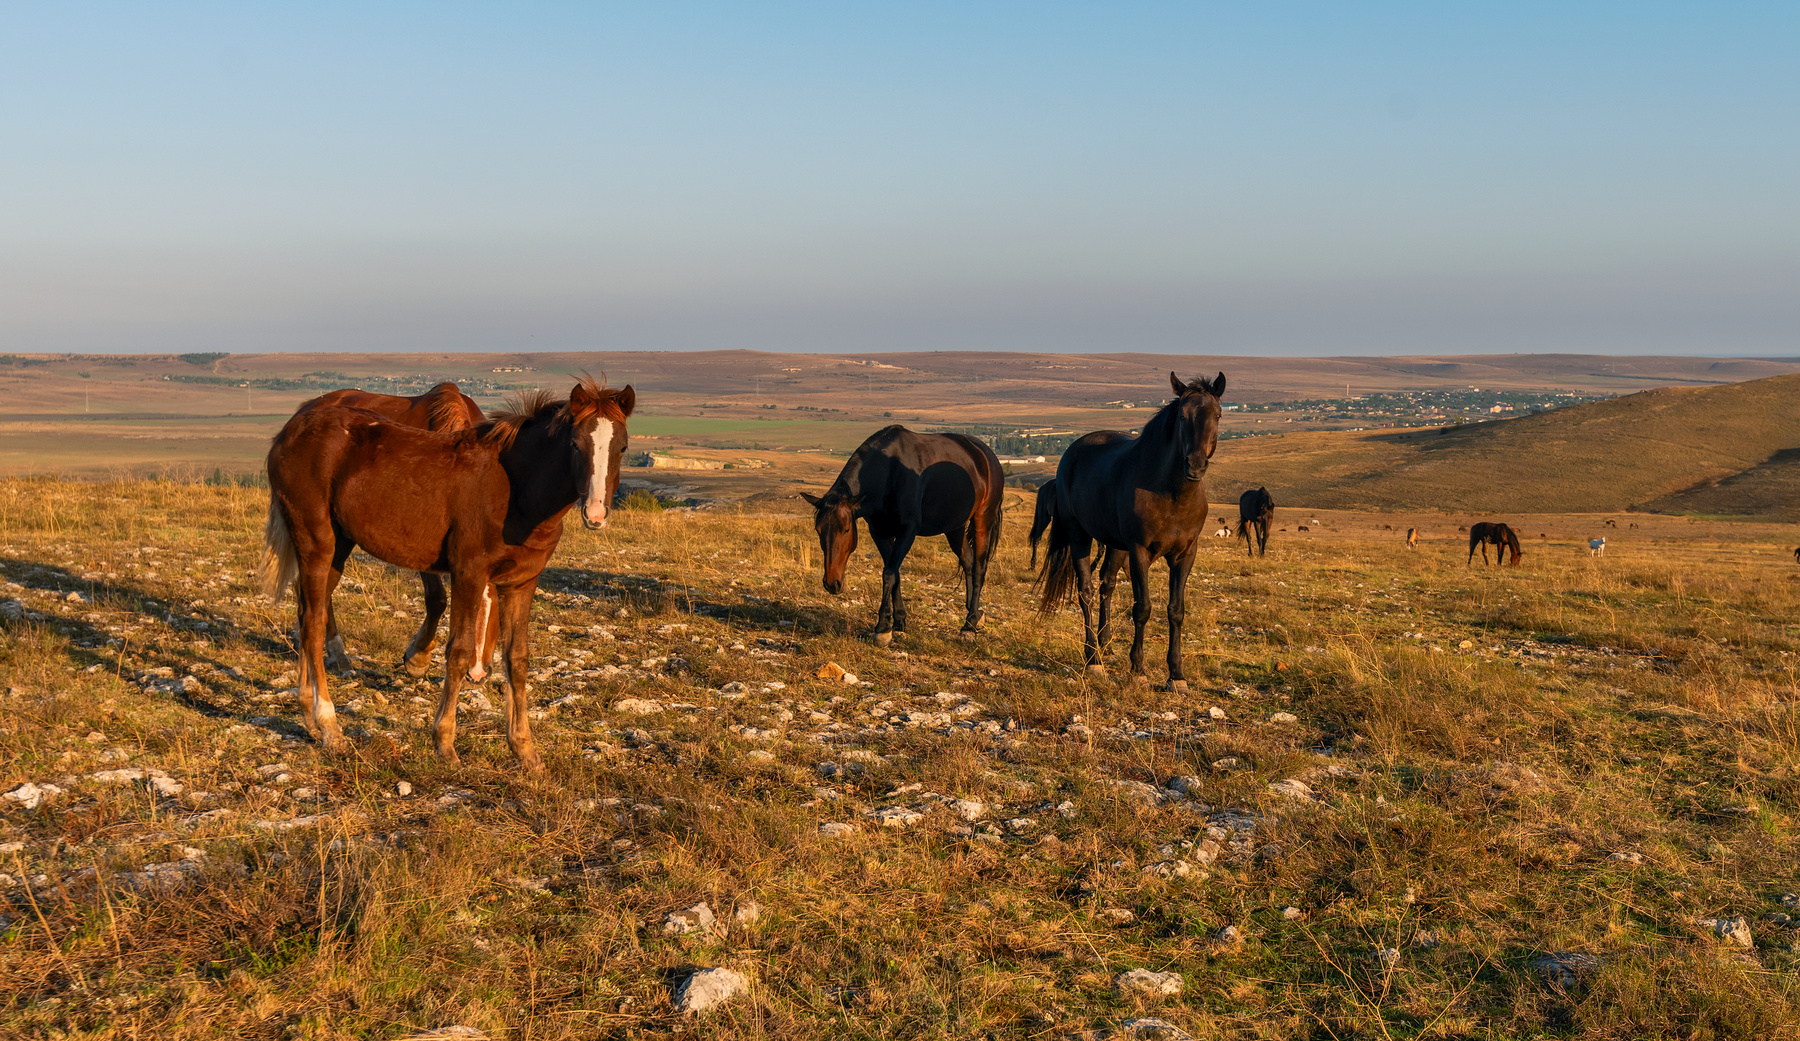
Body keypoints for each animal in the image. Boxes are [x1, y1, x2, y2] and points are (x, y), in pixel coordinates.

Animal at [804, 426, 1003, 646]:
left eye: (846, 529)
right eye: (818, 530)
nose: (832, 583)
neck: (890, 473)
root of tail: (986, 454)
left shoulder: (907, 531)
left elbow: (889, 574)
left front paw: (883, 628)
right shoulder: (880, 533)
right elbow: (894, 573)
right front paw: (899, 621)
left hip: (983, 519)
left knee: (979, 567)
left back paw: (969, 624)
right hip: (954, 526)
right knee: (967, 561)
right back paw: (973, 613)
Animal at [1033, 371, 1225, 691]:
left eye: (1218, 415)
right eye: (1182, 416)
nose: (1195, 465)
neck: (1171, 494)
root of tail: (1074, 449)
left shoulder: (1186, 554)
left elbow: (1176, 610)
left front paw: (1176, 675)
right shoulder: (1139, 551)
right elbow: (1142, 608)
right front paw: (1138, 670)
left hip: (1114, 545)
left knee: (1106, 585)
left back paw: (1107, 646)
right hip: (1079, 535)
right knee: (1086, 591)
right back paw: (1093, 659)